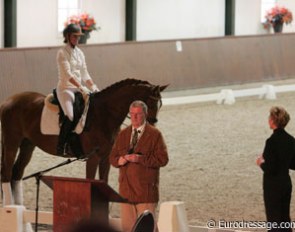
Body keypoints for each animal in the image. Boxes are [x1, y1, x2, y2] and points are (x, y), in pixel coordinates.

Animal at [0, 78, 168, 205]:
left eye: (160, 104)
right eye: (149, 103)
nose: (152, 125)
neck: (104, 114)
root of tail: (7, 101)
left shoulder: (106, 157)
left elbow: (104, 181)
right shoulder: (92, 157)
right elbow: (90, 180)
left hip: (28, 145)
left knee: (17, 172)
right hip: (11, 143)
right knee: (7, 172)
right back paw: (10, 207)